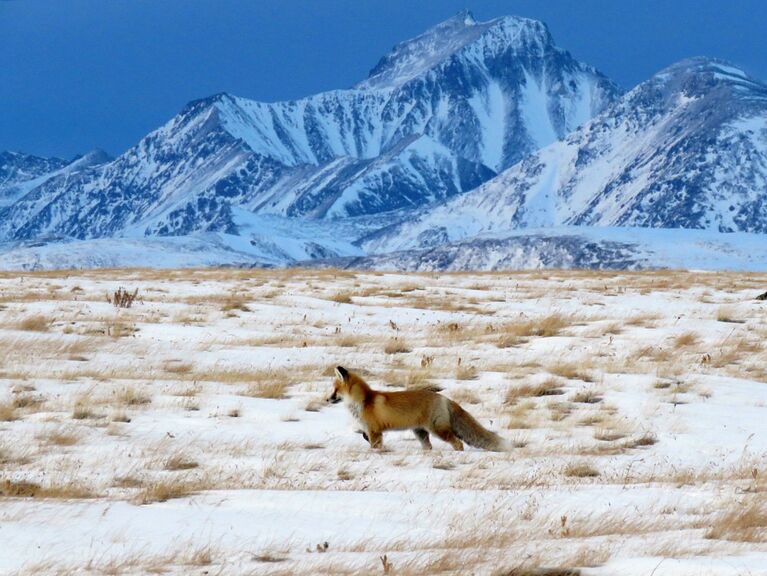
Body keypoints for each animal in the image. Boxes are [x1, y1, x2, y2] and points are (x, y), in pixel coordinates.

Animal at [328, 366, 508, 452]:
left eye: (335, 391)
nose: (327, 399)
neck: (364, 401)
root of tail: (444, 398)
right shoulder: (371, 431)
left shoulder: (375, 431)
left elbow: (374, 446)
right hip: (420, 433)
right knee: (429, 447)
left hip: (438, 430)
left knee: (458, 443)